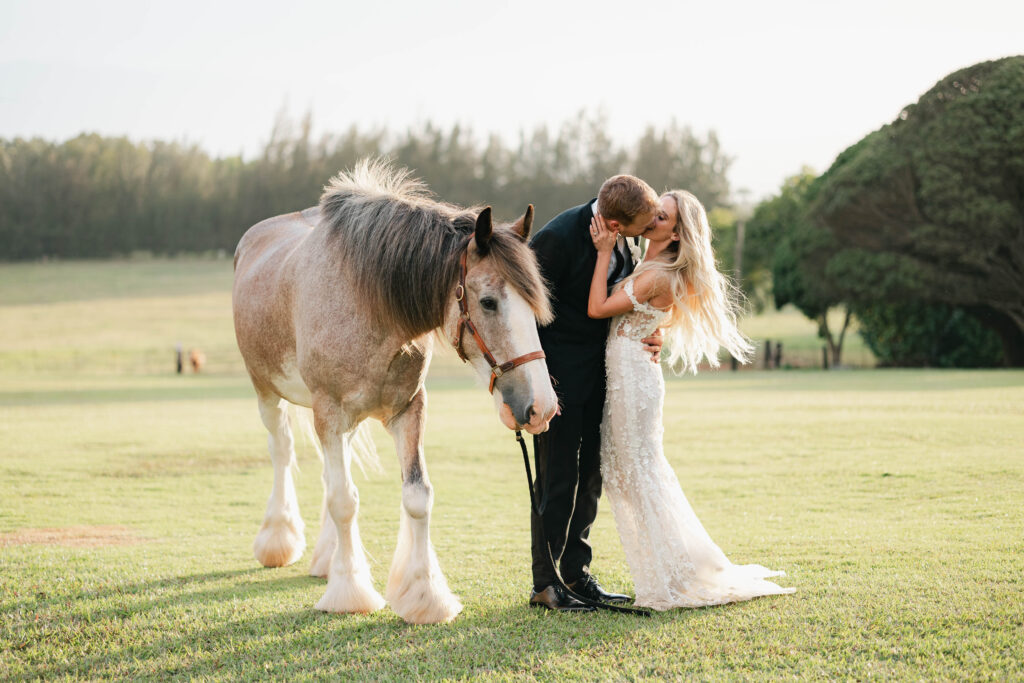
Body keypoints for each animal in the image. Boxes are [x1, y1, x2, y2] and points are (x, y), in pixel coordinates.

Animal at [231, 160, 558, 624]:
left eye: (534, 304)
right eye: (489, 302)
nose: (540, 407)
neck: (368, 303)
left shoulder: (407, 410)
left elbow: (416, 496)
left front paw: (424, 596)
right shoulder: (328, 411)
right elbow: (344, 499)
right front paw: (350, 592)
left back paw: (327, 557)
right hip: (269, 395)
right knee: (283, 453)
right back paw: (280, 539)